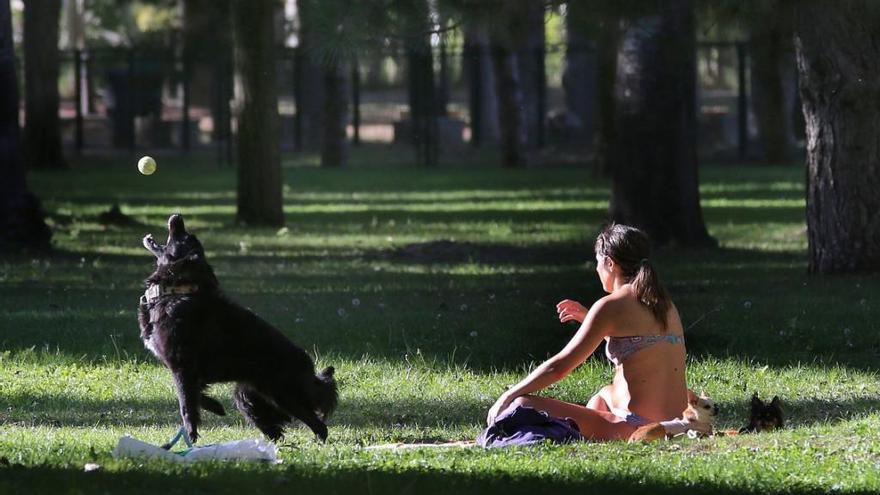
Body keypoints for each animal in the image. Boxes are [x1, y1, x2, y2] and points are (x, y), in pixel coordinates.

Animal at [138, 215, 336, 444]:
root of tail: (309, 369)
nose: (177, 216)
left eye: (185, 237)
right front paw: (216, 407)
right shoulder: (188, 372)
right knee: (276, 430)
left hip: (283, 395)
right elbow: (195, 396)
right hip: (248, 398)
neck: (176, 292)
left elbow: (186, 404)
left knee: (319, 425)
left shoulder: (182, 367)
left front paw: (191, 437)